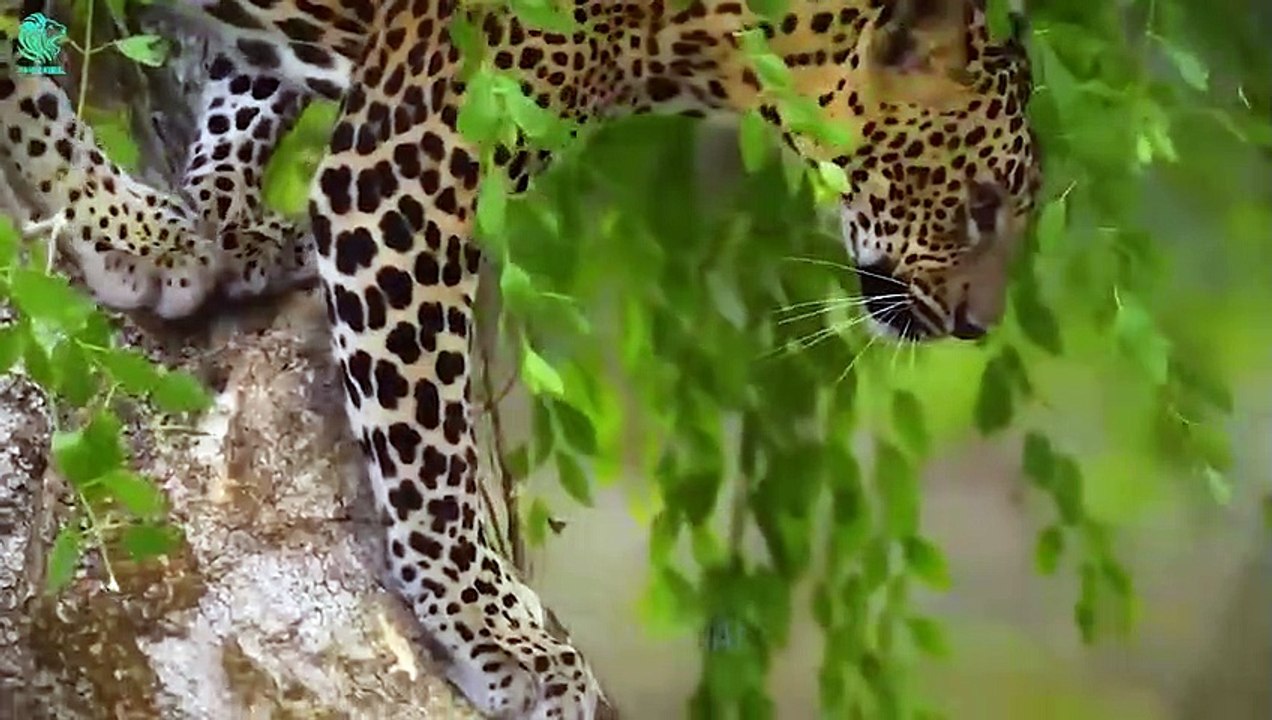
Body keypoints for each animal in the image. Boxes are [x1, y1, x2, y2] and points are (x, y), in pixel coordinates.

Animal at [0, 0, 1042, 717]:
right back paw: (119, 221)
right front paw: (500, 638)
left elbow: (241, 80)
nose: (977, 326)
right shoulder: (406, 174)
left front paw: (228, 214)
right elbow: (431, 452)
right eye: (981, 204)